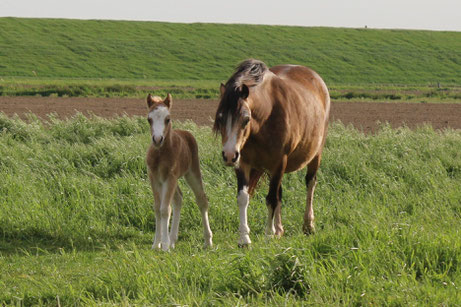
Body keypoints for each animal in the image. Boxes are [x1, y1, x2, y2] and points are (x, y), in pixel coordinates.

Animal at [145, 94, 213, 253]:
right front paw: (157, 244)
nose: (157, 139)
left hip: (192, 172)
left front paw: (164, 246)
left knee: (202, 200)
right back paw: (173, 240)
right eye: (149, 119)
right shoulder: (154, 178)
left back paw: (208, 241)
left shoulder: (170, 177)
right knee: (178, 199)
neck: (160, 154)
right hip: (172, 180)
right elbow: (157, 208)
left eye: (167, 119)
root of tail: (186, 132)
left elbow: (165, 209)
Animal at [214, 59, 328, 248]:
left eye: (246, 119)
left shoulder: (279, 162)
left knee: (310, 183)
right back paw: (279, 229)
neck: (266, 115)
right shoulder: (243, 163)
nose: (229, 155)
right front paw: (244, 239)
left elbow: (271, 199)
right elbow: (243, 198)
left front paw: (268, 235)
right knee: (280, 192)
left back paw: (308, 225)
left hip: (315, 153)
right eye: (221, 118)